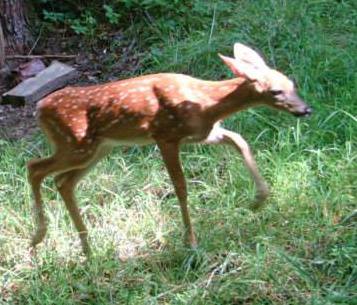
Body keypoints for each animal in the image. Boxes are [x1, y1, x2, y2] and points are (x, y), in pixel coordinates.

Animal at [27, 42, 310, 254]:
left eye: (291, 83)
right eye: (275, 91)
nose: (306, 109)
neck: (206, 102)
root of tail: (39, 109)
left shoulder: (202, 133)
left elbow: (239, 140)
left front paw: (259, 199)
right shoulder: (165, 136)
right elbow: (181, 187)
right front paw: (191, 242)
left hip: (98, 150)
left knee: (63, 182)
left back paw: (87, 248)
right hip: (75, 145)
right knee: (35, 168)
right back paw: (38, 237)